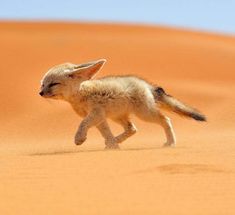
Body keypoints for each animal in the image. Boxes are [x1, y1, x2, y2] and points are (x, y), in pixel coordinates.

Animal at [39, 58, 206, 149]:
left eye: (53, 84)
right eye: (43, 84)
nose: (40, 93)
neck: (81, 94)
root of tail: (145, 84)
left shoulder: (96, 113)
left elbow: (83, 124)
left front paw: (79, 138)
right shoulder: (100, 118)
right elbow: (106, 133)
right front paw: (113, 146)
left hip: (144, 114)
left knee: (166, 119)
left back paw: (171, 143)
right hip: (118, 116)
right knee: (132, 129)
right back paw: (116, 141)